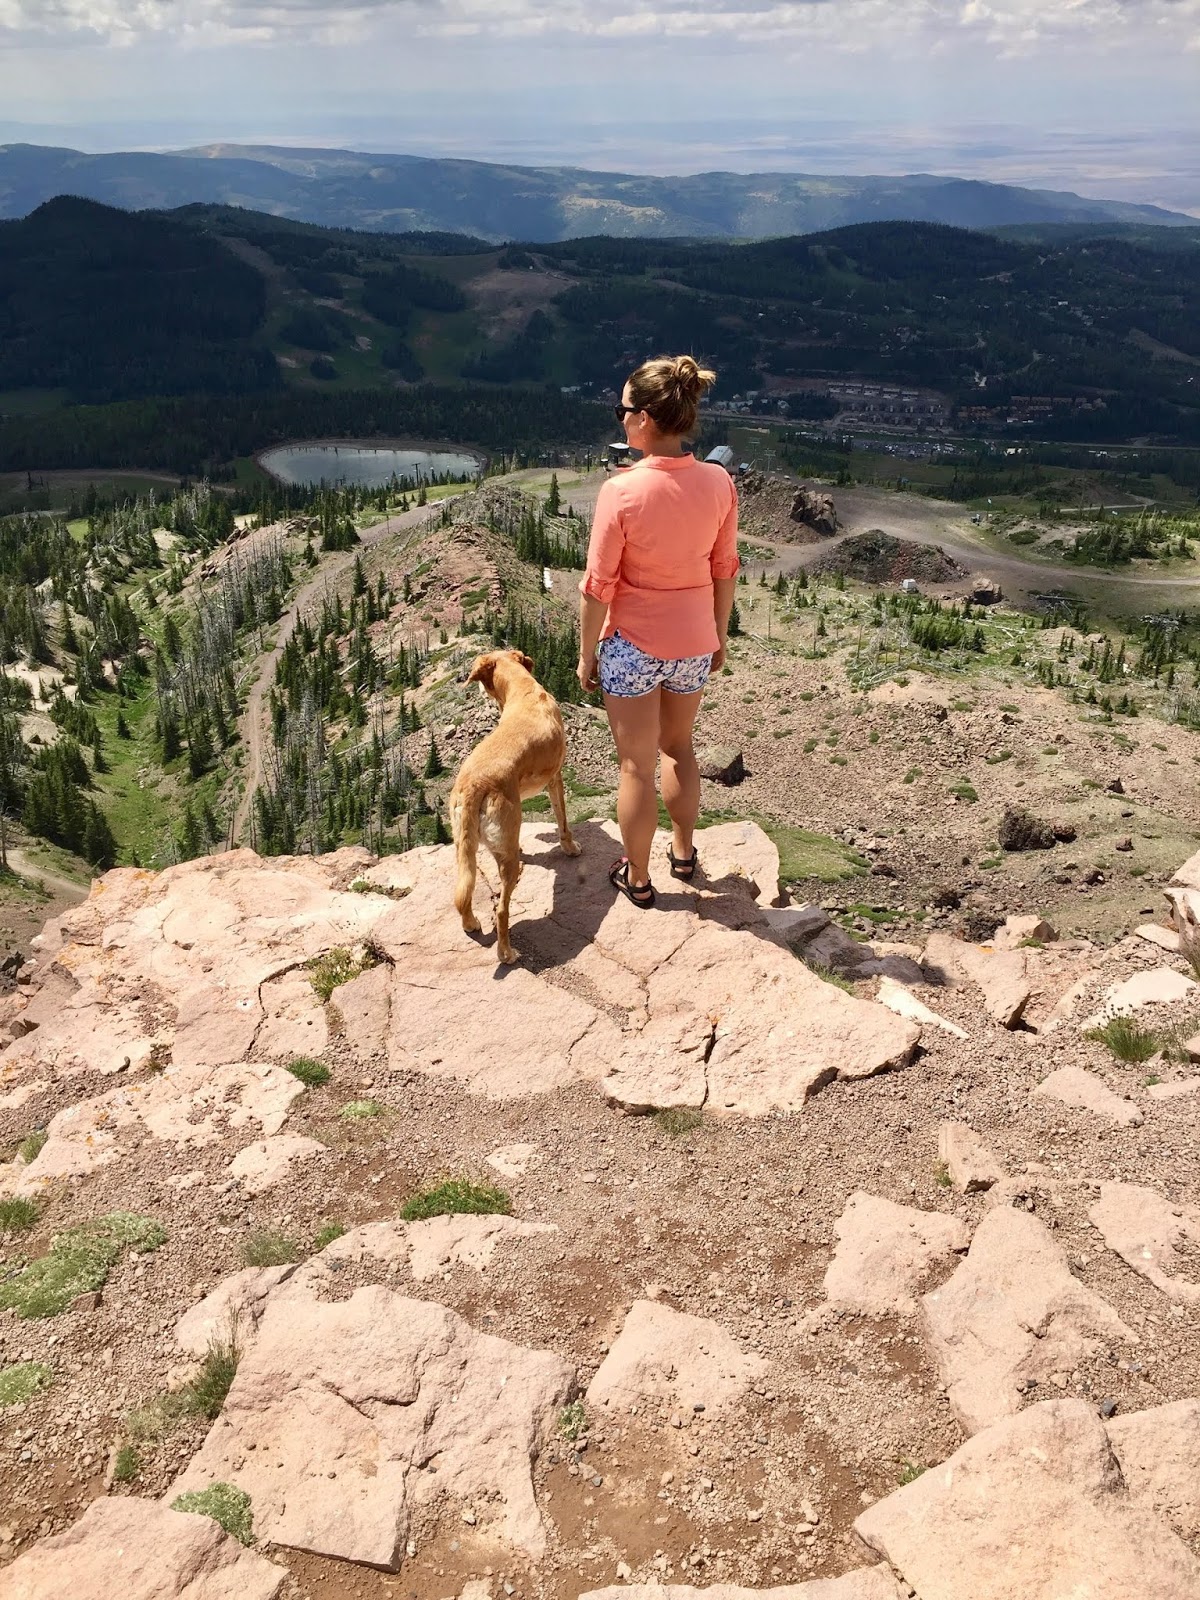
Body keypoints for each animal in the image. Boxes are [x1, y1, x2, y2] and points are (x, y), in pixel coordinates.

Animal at [451, 646, 582, 960]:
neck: (522, 689)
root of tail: (473, 785)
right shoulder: (555, 777)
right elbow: (562, 819)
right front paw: (570, 847)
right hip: (506, 854)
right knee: (501, 910)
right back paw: (507, 952)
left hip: (464, 846)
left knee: (463, 894)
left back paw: (471, 923)